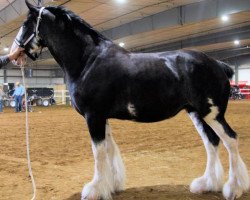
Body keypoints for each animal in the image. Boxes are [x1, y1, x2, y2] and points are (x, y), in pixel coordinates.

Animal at [10, 0, 249, 199]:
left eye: (26, 24)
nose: (13, 54)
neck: (88, 60)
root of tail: (219, 64)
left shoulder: (93, 116)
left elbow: (98, 153)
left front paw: (95, 189)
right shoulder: (101, 117)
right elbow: (108, 149)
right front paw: (112, 186)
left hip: (212, 114)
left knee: (230, 140)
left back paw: (233, 188)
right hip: (197, 113)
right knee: (212, 142)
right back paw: (206, 184)